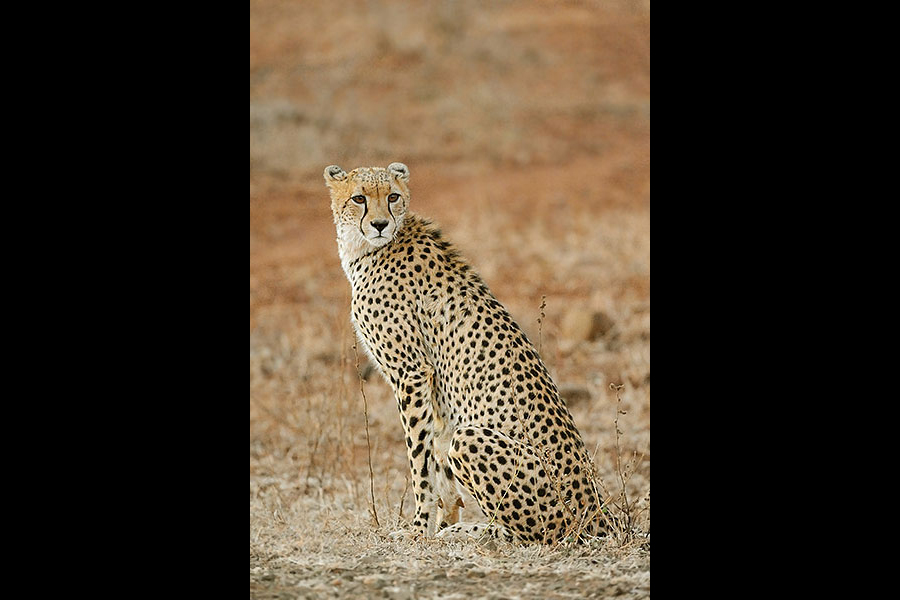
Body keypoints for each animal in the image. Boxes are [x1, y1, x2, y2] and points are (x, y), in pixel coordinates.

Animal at [324, 161, 612, 544]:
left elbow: (420, 462)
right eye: (359, 198)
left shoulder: (411, 372)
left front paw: (419, 530)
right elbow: (437, 454)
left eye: (393, 196)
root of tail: (602, 512)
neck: (367, 249)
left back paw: (474, 532)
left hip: (474, 442)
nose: (381, 224)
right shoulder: (432, 387)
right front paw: (441, 521)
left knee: (545, 534)